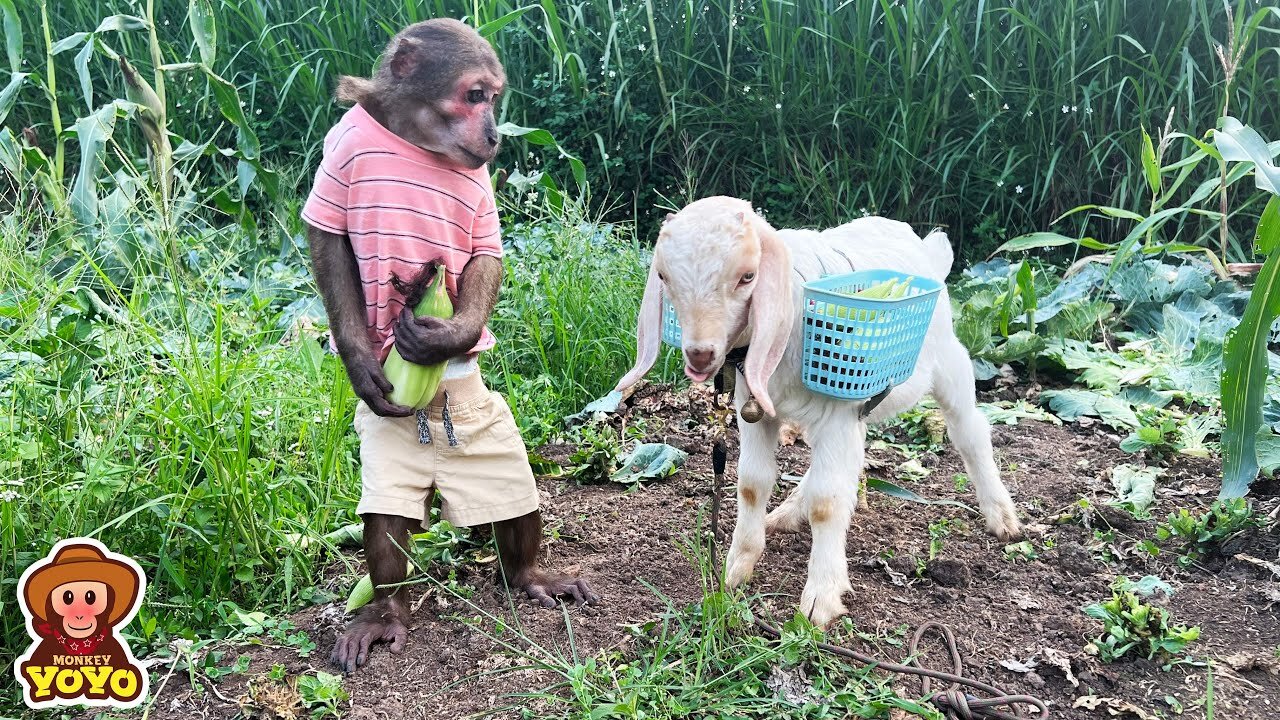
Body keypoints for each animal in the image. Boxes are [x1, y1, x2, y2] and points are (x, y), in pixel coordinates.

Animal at [302, 18, 596, 671]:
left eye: (495, 98)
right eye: (474, 95)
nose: (494, 133)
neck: (416, 141)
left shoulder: (479, 185)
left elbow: (484, 253)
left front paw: (451, 333)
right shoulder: (339, 157)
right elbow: (327, 239)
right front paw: (359, 359)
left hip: (495, 450)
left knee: (516, 504)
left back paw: (529, 576)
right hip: (391, 451)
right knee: (387, 523)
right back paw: (386, 613)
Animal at [614, 194, 1024, 622]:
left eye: (747, 276)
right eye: (663, 277)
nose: (699, 354)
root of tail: (928, 249)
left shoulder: (836, 410)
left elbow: (828, 504)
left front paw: (821, 599)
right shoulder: (754, 406)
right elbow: (752, 483)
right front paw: (736, 569)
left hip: (948, 362)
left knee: (970, 432)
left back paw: (1002, 517)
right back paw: (789, 512)